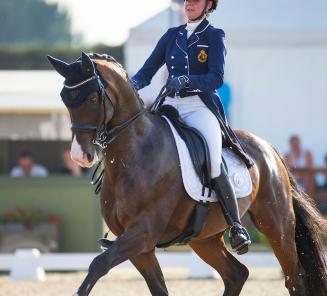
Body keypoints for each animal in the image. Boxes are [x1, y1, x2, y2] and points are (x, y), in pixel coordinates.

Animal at [47, 53, 326, 296]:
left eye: (92, 99)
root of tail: (268, 148)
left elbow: (98, 264)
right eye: (64, 98)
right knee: (237, 274)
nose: (79, 156)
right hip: (204, 238)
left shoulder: (142, 234)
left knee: (294, 280)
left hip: (277, 225)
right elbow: (158, 289)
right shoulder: (140, 248)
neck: (135, 155)